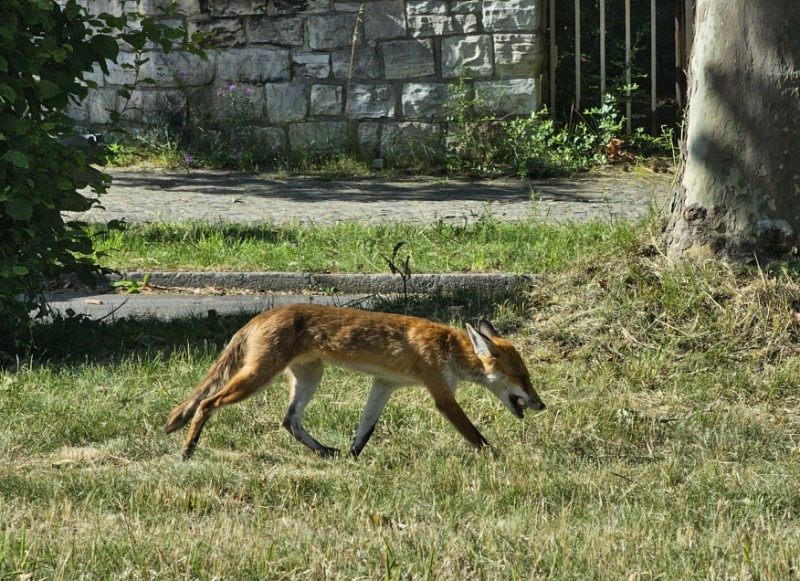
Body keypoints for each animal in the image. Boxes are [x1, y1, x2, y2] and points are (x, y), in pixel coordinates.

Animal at [166, 302, 548, 460]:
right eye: (522, 377)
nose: (542, 404)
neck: (448, 347)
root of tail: (259, 316)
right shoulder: (442, 395)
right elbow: (476, 436)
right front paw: (499, 459)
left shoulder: (383, 384)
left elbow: (365, 429)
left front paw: (353, 458)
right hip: (258, 378)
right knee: (206, 402)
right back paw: (188, 450)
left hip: (309, 378)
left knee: (290, 421)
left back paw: (325, 452)